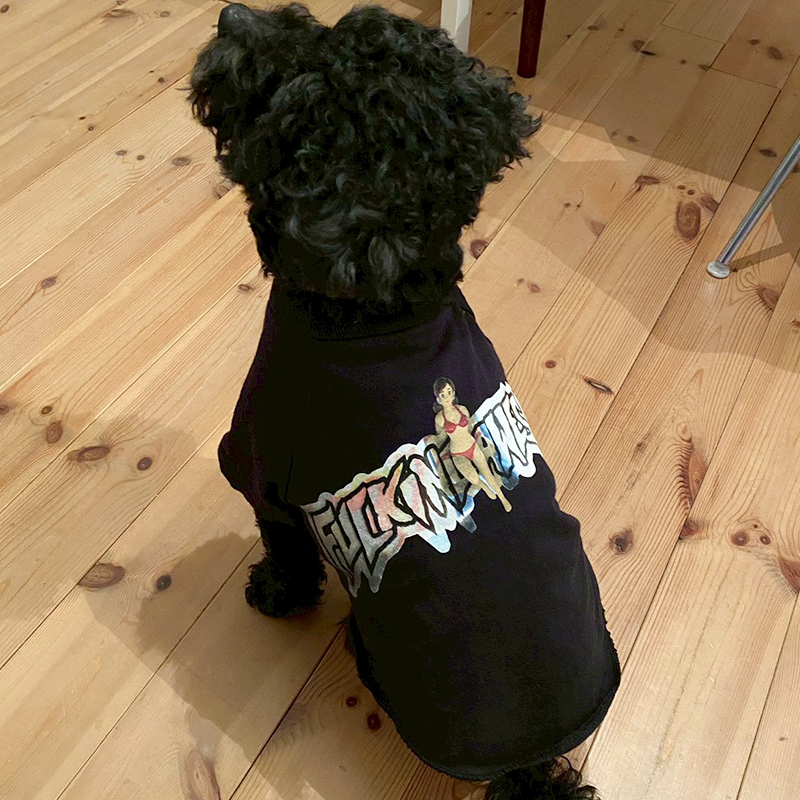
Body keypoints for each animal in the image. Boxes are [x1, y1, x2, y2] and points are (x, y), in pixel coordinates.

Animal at [187, 4, 621, 797]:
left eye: (281, 87)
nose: (231, 15)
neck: (380, 309)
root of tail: (532, 764)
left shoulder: (261, 460)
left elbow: (283, 542)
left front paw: (274, 591)